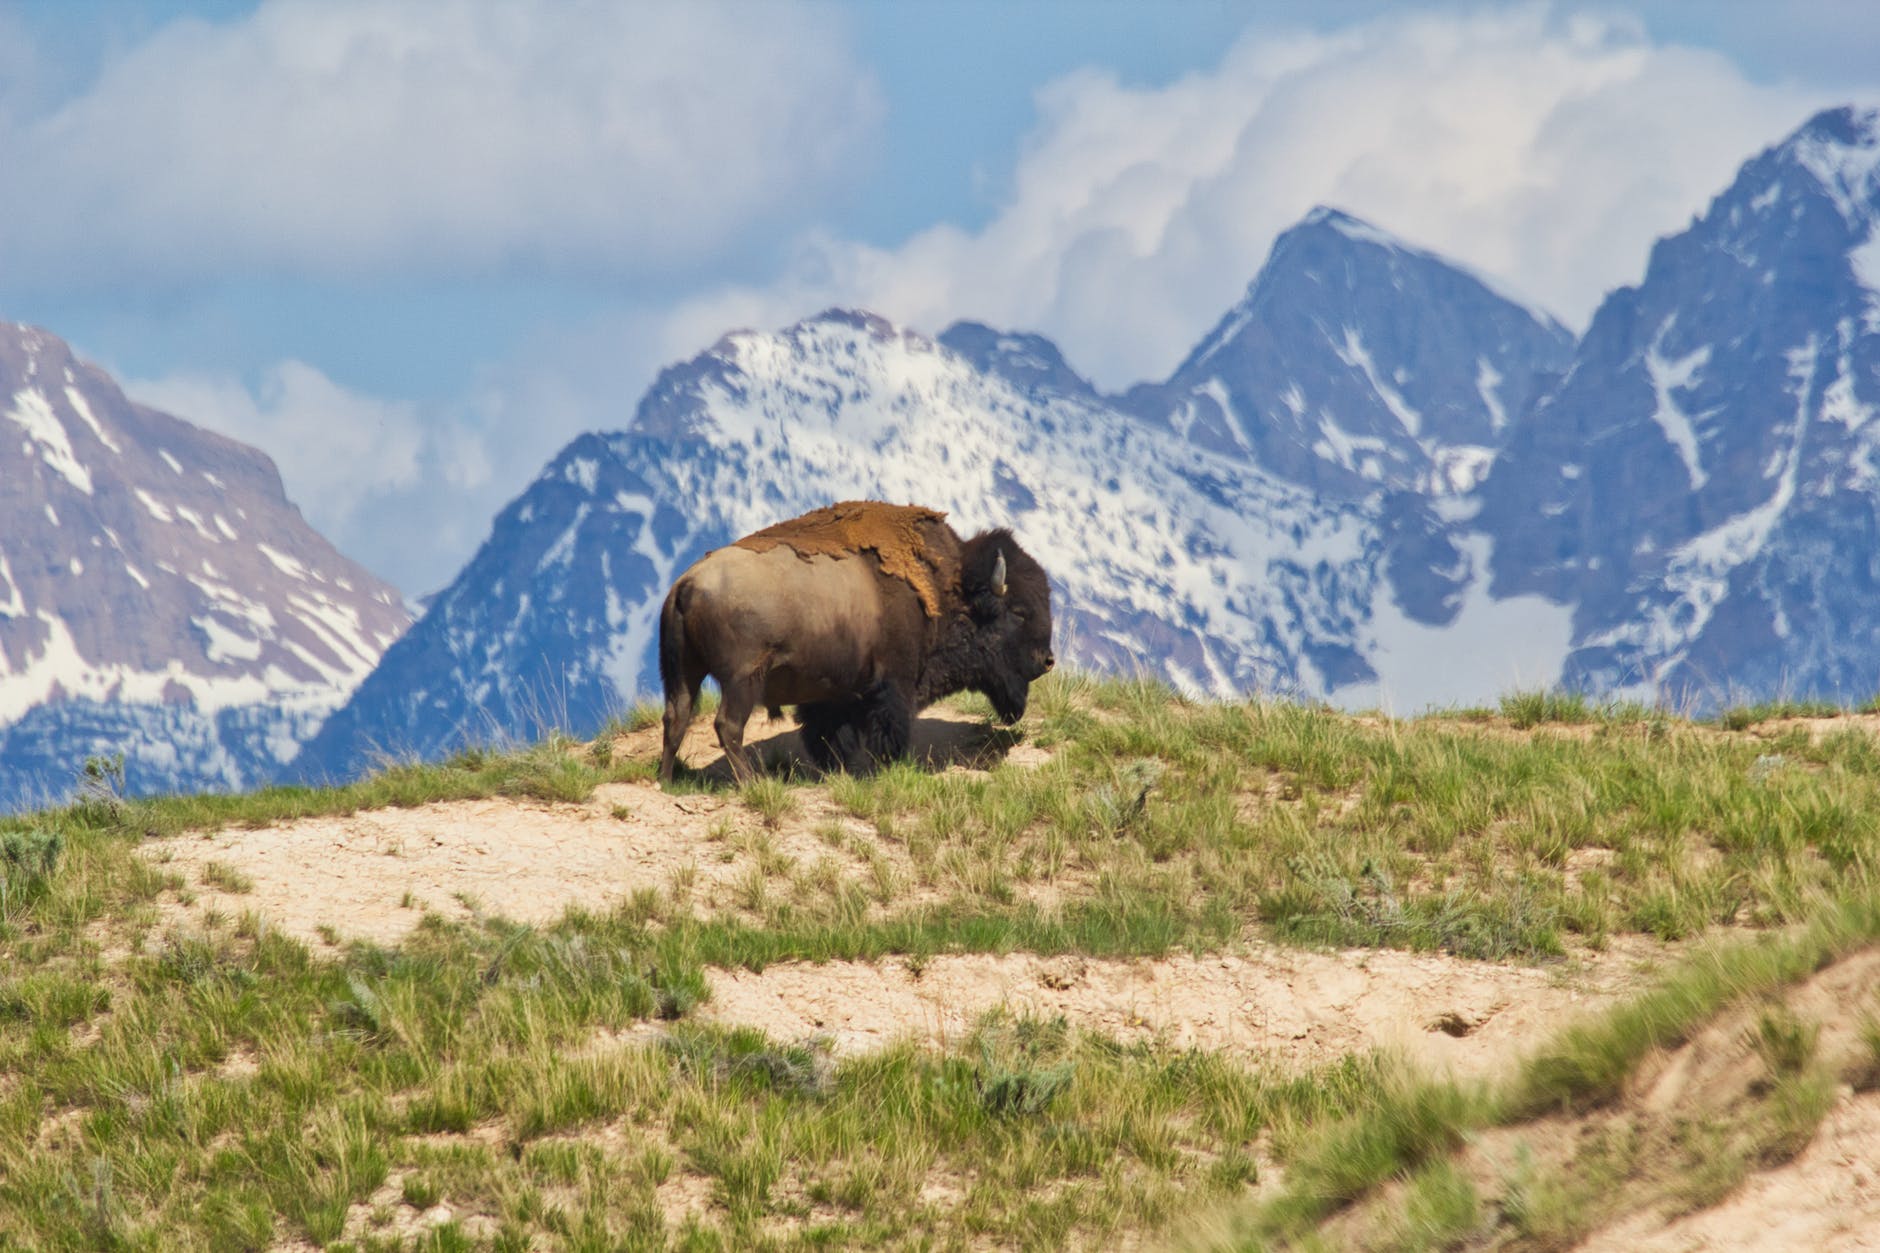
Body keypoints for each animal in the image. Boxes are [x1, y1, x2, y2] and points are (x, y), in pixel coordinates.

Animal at [657, 501, 1054, 783]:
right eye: (1019, 611)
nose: (1047, 660)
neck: (945, 590)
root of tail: (686, 584)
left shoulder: (831, 694)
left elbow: (829, 736)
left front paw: (838, 769)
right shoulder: (892, 686)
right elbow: (887, 731)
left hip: (684, 673)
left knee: (676, 717)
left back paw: (668, 780)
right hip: (742, 679)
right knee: (727, 726)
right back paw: (751, 782)